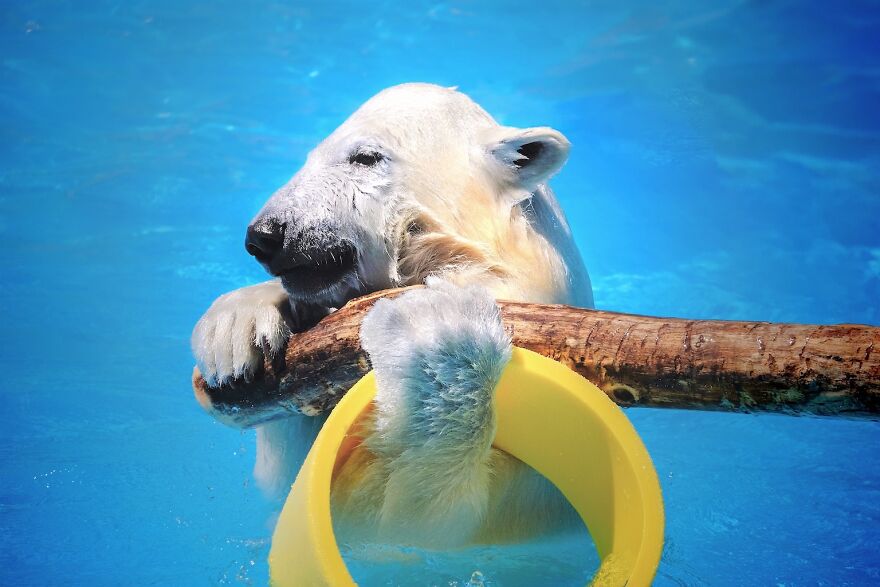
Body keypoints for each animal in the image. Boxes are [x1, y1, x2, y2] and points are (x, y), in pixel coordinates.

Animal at [190, 81, 596, 548]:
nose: (264, 235)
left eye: (365, 156)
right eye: (311, 155)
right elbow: (291, 476)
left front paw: (440, 336)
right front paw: (236, 329)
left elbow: (415, 522)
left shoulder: (530, 492)